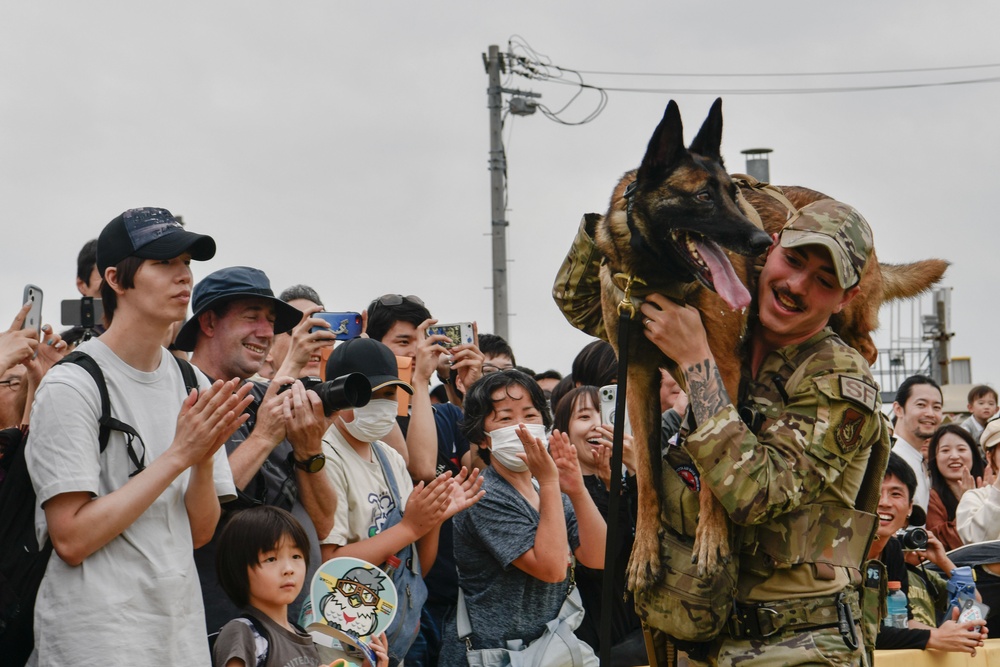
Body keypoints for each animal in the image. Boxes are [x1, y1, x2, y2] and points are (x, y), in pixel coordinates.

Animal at [596, 98, 948, 596]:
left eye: (731, 192)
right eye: (703, 197)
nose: (764, 241)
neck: (657, 276)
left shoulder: (719, 365)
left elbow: (714, 464)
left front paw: (712, 539)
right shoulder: (640, 377)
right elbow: (645, 472)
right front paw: (643, 552)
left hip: (851, 312)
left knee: (866, 346)